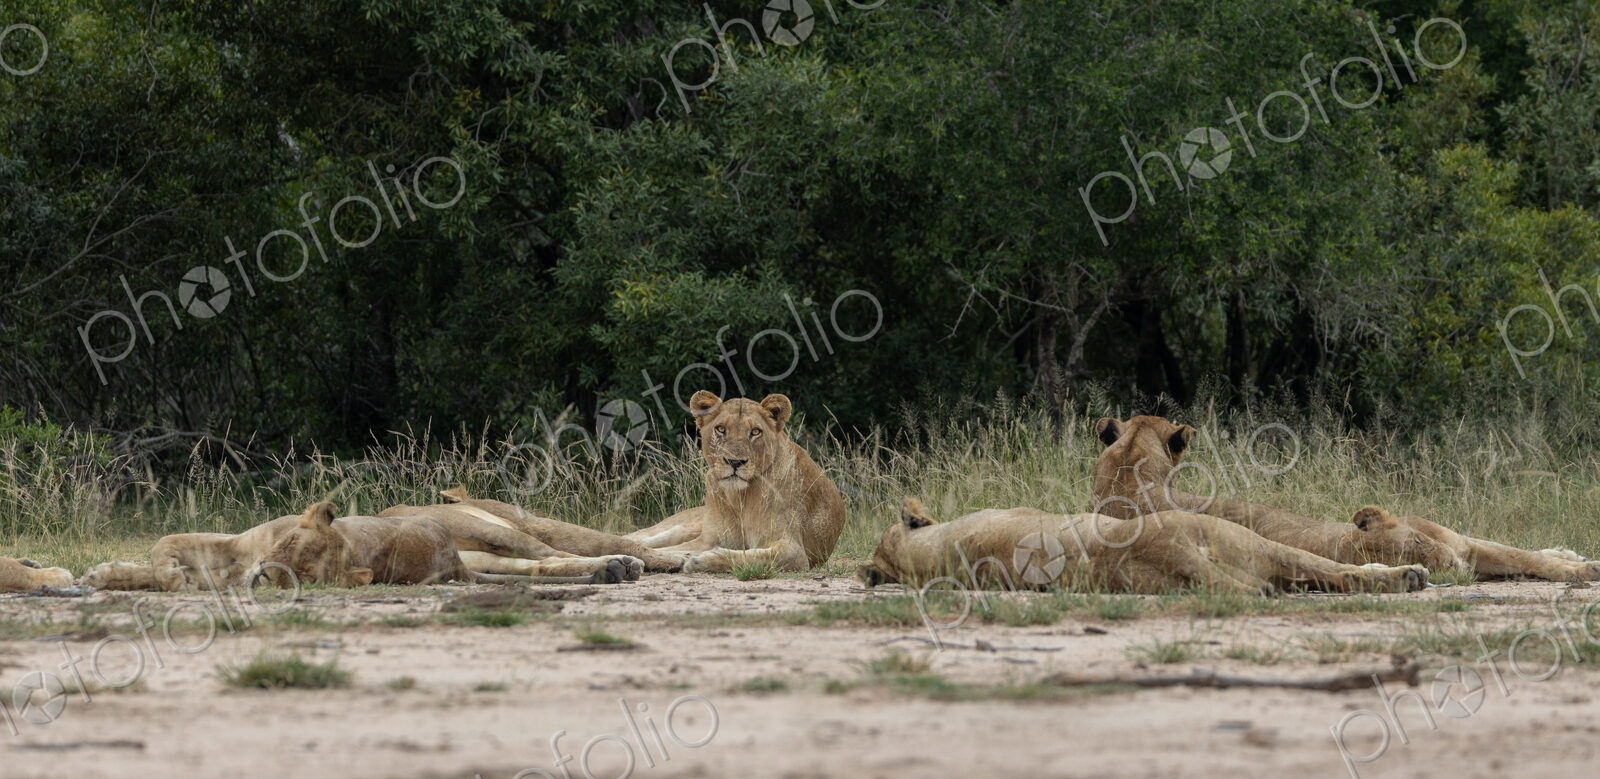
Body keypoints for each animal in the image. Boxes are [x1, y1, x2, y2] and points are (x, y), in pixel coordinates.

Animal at [625, 391, 846, 573]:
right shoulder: (707, 539)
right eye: (721, 429)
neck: (738, 496)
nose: (734, 462)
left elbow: (754, 557)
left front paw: (701, 561)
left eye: (755, 432)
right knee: (637, 538)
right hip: (677, 528)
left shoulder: (795, 551)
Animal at [1091, 415, 1600, 582]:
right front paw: (1580, 569)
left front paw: (1580, 567)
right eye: (1415, 553)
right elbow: (1529, 561)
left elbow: (1532, 558)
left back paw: (1573, 554)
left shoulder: (1458, 542)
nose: (1452, 568)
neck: (1127, 474)